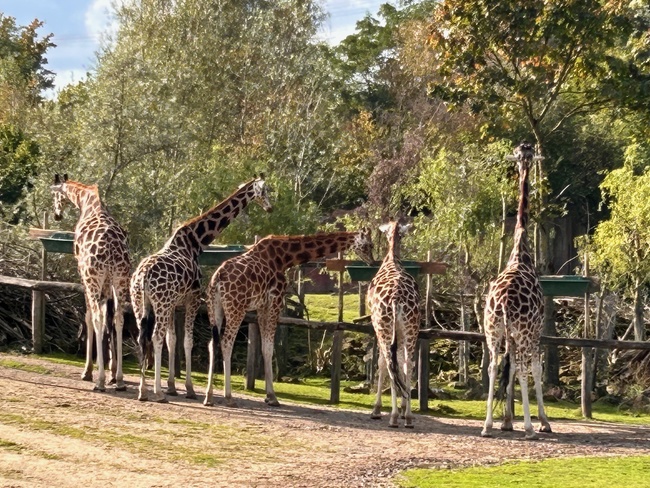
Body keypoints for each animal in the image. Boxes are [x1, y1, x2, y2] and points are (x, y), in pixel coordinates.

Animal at [49, 173, 130, 390]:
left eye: (54, 193)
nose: (57, 215)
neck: (87, 201)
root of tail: (111, 250)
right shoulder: (108, 284)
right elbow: (110, 320)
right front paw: (112, 373)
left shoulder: (83, 275)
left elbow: (88, 317)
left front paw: (87, 372)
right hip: (120, 279)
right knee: (118, 317)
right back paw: (119, 380)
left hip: (93, 279)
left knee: (96, 317)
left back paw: (100, 381)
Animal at [130, 175, 272, 404]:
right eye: (264, 191)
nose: (270, 207)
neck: (196, 241)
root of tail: (142, 277)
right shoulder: (193, 298)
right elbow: (187, 341)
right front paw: (188, 389)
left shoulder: (174, 304)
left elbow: (173, 340)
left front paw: (172, 387)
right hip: (160, 303)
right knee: (155, 337)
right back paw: (158, 393)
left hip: (140, 303)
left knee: (142, 338)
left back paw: (143, 391)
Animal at [202, 229, 374, 408]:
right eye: (369, 245)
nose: (371, 261)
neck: (285, 257)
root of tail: (217, 278)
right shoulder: (275, 301)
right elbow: (268, 348)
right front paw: (272, 397)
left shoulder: (262, 306)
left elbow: (265, 347)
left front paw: (268, 395)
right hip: (237, 308)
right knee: (226, 342)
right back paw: (228, 397)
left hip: (214, 308)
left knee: (212, 343)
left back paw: (209, 397)